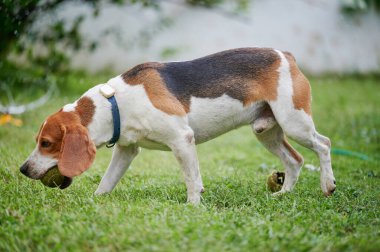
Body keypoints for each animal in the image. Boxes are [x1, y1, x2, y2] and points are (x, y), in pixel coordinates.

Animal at [20, 48, 336, 204]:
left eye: (46, 143)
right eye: (37, 140)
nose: (23, 169)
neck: (116, 103)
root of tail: (286, 56)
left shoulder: (182, 139)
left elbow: (192, 181)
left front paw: (193, 207)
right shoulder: (126, 150)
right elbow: (106, 182)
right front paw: (94, 202)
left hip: (295, 122)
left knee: (323, 144)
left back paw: (327, 184)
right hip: (267, 132)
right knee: (295, 160)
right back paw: (283, 194)